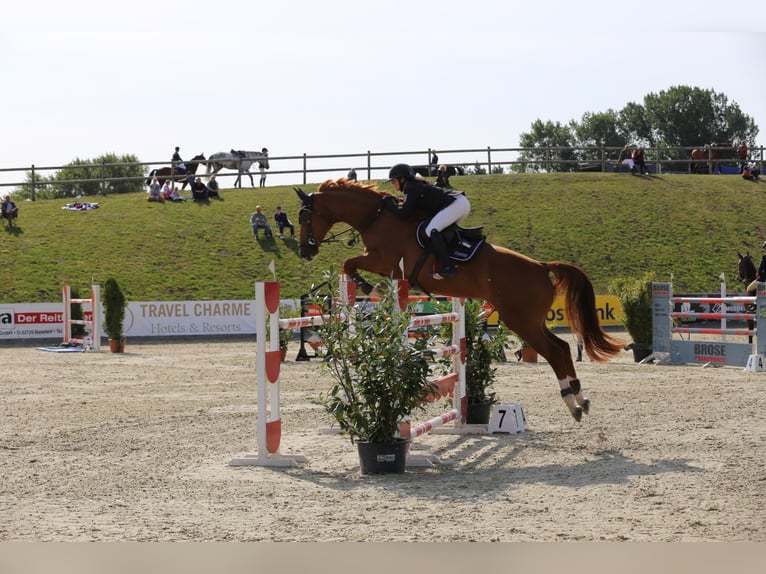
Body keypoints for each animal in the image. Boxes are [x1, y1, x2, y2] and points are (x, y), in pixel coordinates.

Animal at [296, 180, 628, 424]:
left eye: (304, 216)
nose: (305, 252)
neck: (376, 216)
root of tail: (541, 266)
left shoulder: (385, 262)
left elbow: (349, 264)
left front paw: (369, 287)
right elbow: (349, 264)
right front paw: (370, 288)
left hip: (520, 319)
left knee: (555, 350)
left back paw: (573, 403)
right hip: (529, 320)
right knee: (562, 348)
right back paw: (580, 399)